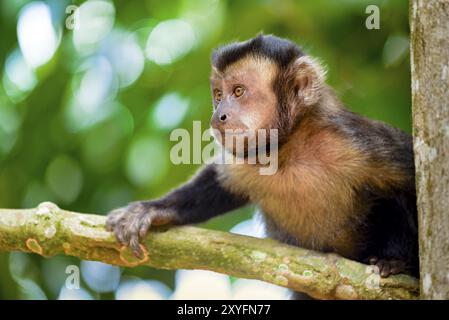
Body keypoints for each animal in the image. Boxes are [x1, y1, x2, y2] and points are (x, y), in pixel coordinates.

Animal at [107, 35, 418, 296]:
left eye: (238, 91)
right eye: (218, 94)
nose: (218, 116)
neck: (290, 148)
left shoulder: (353, 142)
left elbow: (413, 178)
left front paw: (403, 263)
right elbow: (220, 182)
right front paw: (154, 209)